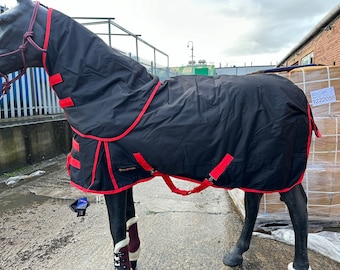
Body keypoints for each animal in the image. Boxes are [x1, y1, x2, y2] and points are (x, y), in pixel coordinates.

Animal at [0, 1, 318, 268]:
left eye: (4, 23)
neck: (112, 94)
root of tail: (299, 97)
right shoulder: (122, 176)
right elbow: (129, 231)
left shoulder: (109, 178)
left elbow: (117, 237)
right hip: (255, 166)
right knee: (253, 203)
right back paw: (235, 254)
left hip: (278, 169)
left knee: (298, 208)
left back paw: (299, 263)